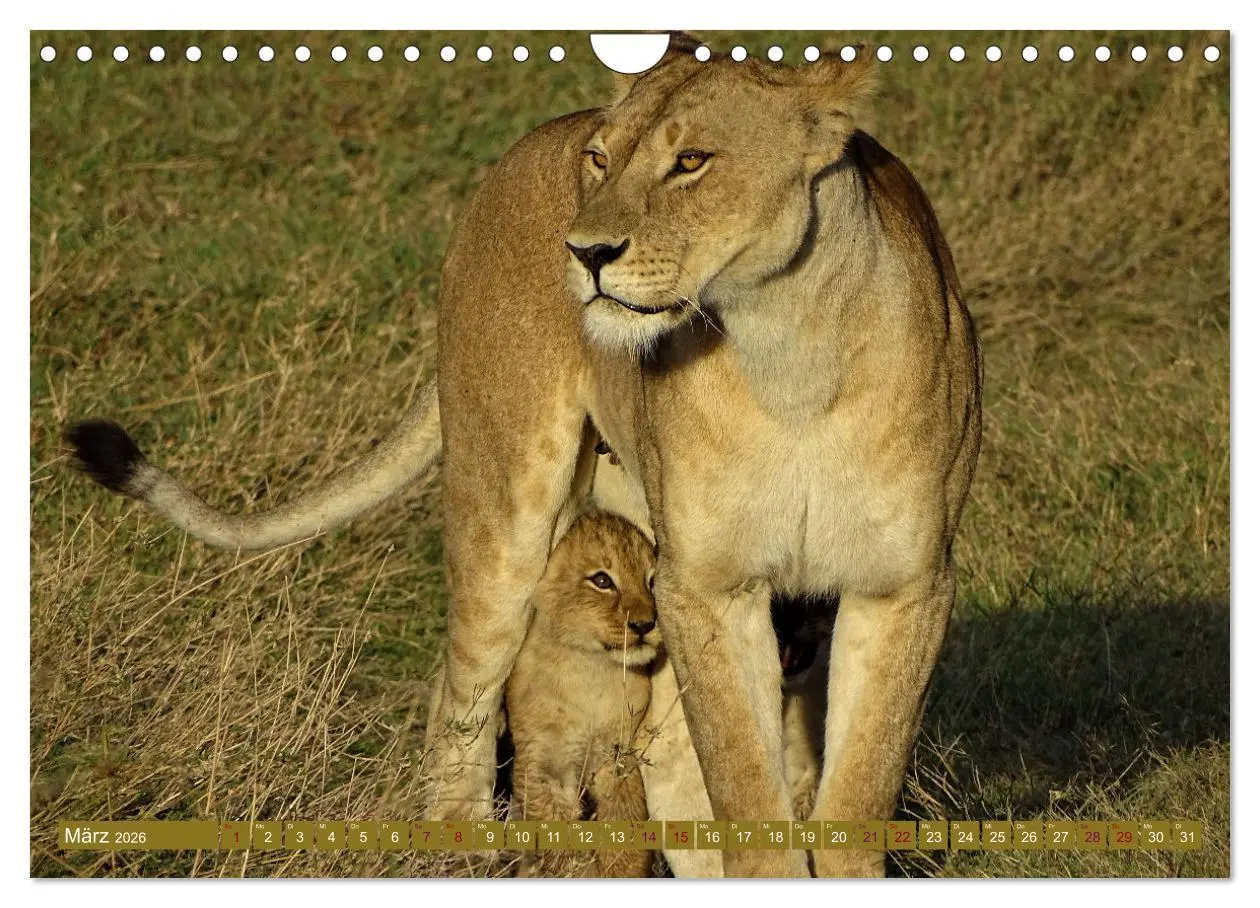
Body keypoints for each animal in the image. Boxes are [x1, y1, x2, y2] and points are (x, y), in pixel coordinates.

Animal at [66, 40, 981, 878]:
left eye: (691, 161)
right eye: (601, 160)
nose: (585, 252)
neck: (790, 355)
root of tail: (515, 155)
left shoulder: (902, 585)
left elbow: (854, 791)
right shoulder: (709, 588)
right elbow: (747, 788)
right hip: (505, 510)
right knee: (463, 691)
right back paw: (462, 853)